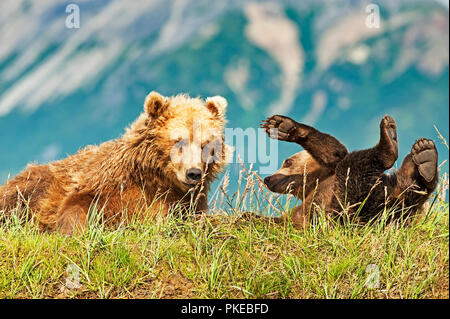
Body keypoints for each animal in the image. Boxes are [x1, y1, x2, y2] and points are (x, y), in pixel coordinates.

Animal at [260, 115, 440, 228]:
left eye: (287, 161)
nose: (268, 178)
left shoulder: (330, 171)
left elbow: (335, 151)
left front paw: (282, 125)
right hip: (352, 205)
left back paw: (413, 149)